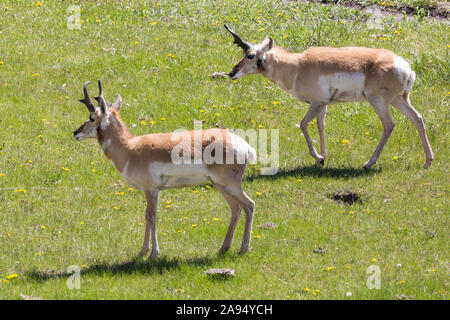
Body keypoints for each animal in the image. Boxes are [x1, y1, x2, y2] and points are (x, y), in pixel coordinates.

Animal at [74, 81, 256, 258]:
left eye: (92, 118)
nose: (75, 132)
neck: (129, 148)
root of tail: (241, 144)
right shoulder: (149, 190)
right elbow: (146, 215)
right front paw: (142, 251)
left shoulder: (152, 189)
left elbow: (152, 216)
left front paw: (153, 253)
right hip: (221, 185)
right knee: (236, 209)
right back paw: (224, 248)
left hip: (229, 185)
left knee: (249, 205)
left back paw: (243, 248)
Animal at [225, 26, 432, 169]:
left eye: (251, 55)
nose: (231, 73)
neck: (297, 65)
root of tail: (406, 68)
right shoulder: (323, 105)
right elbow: (320, 126)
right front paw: (323, 157)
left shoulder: (317, 102)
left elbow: (303, 124)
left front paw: (318, 158)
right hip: (399, 100)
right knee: (417, 118)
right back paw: (428, 161)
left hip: (378, 101)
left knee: (389, 125)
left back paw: (368, 163)